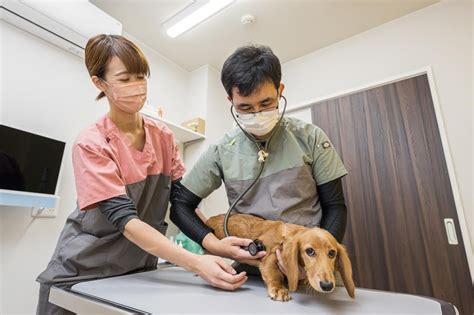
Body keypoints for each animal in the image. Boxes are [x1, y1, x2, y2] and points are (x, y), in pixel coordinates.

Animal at [206, 214, 354, 302]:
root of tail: (210, 219)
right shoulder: (270, 255)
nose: (327, 286)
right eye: (310, 251)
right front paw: (278, 289)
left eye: (332, 253)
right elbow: (274, 273)